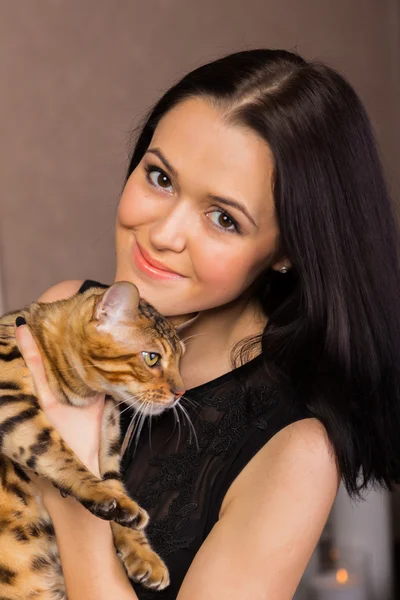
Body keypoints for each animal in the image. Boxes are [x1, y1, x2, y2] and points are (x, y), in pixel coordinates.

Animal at [0, 282, 184, 600]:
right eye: (152, 357)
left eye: (180, 359)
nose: (180, 392)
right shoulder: (10, 399)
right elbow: (53, 450)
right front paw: (106, 498)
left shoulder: (107, 442)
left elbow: (113, 481)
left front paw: (143, 554)